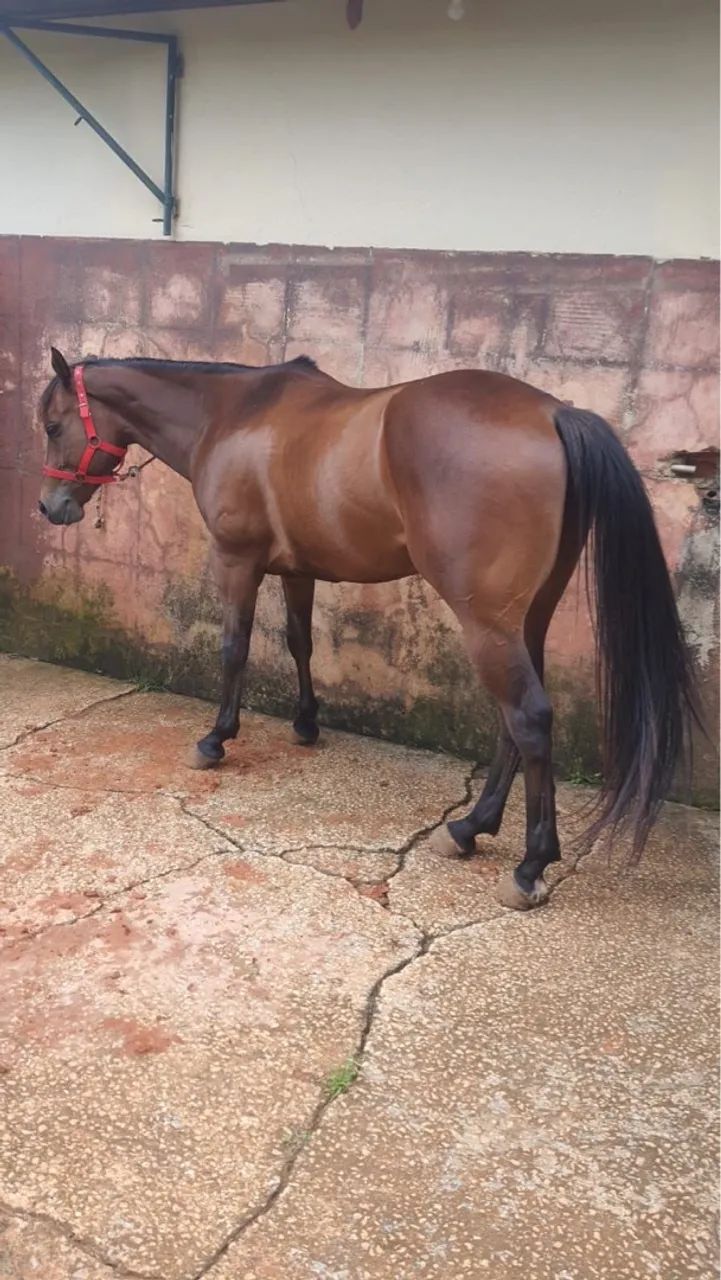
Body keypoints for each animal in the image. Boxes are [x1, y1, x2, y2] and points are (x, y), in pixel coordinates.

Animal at [37, 347, 698, 911]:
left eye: (51, 424)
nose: (50, 508)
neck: (229, 415)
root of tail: (555, 412)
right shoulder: (297, 569)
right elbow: (299, 642)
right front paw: (306, 724)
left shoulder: (238, 561)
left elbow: (235, 649)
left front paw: (216, 739)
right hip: (525, 619)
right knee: (514, 723)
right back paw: (469, 827)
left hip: (487, 623)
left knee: (528, 718)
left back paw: (530, 865)